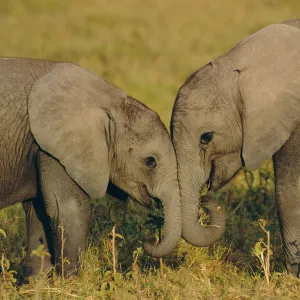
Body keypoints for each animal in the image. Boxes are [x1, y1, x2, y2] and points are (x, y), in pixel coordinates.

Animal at [0, 56, 182, 278]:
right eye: (150, 161)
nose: (148, 238)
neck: (107, 103)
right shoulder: (56, 149)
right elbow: (68, 211)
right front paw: (69, 282)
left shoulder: (39, 147)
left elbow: (39, 212)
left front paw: (35, 283)